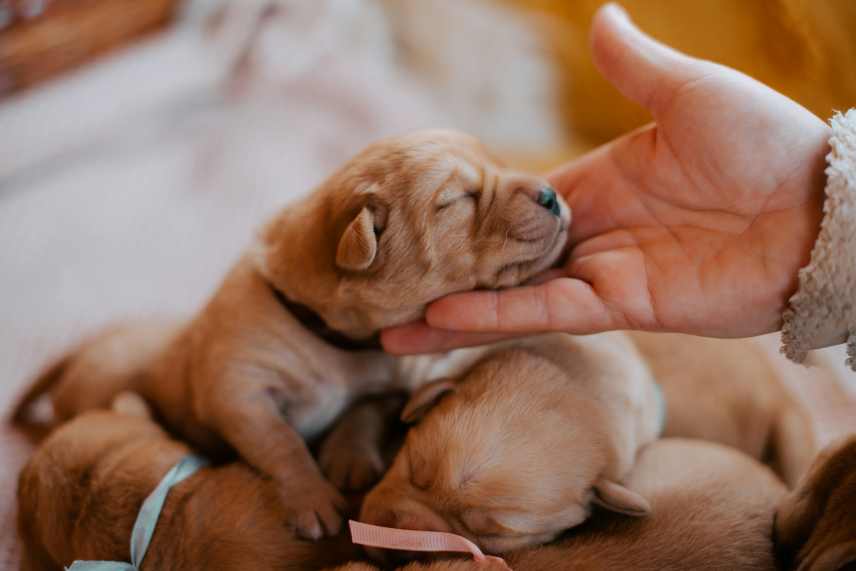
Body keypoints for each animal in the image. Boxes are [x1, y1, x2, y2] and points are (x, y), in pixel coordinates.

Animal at [10, 131, 572, 540]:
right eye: (459, 199)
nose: (551, 194)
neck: (338, 339)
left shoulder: (392, 380)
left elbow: (365, 410)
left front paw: (348, 459)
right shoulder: (239, 390)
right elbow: (281, 443)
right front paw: (314, 497)